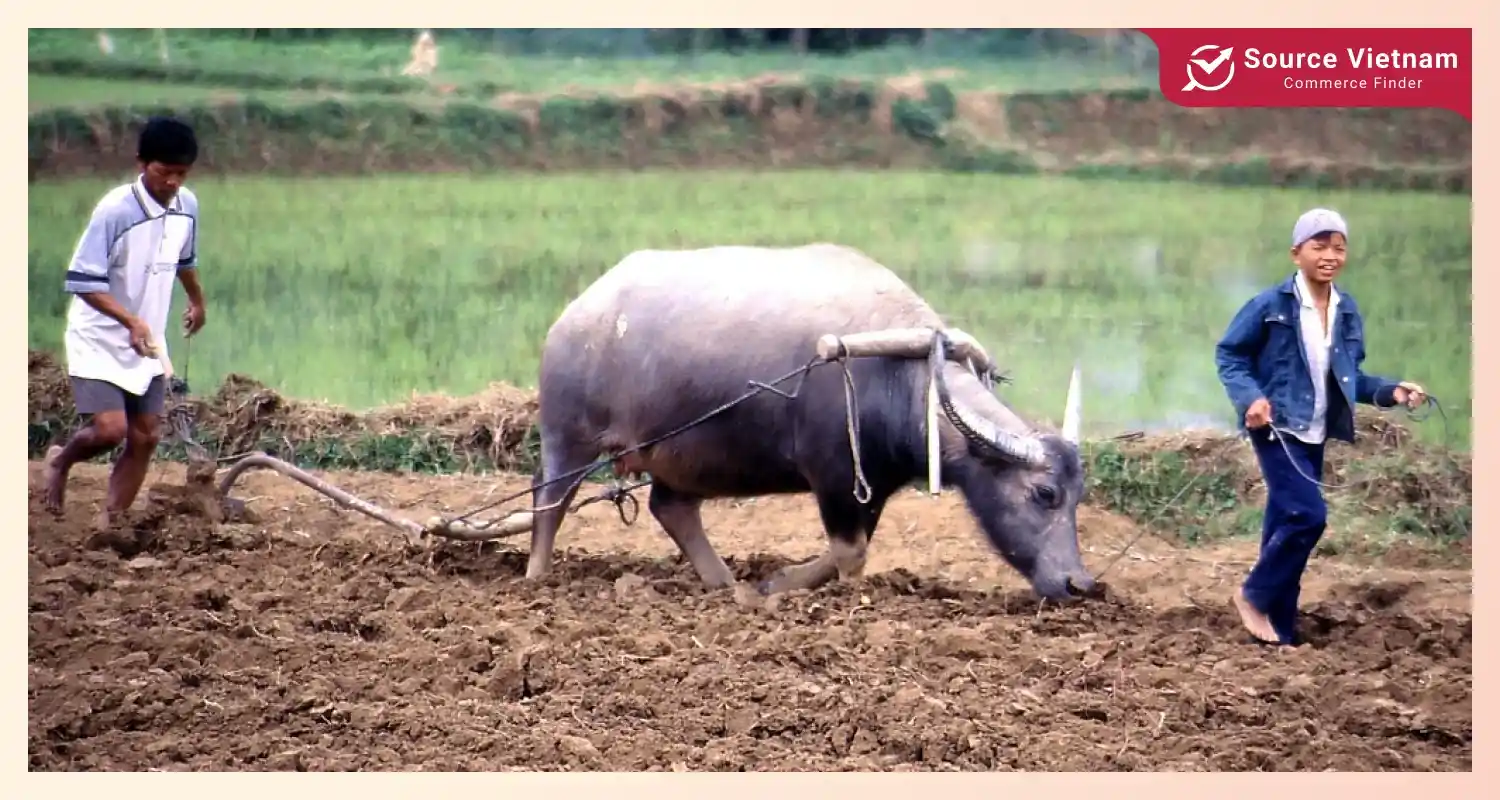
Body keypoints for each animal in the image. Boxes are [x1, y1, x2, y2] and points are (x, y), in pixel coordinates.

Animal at [522, 241, 1098, 600]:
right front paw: (789, 588)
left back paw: (727, 586)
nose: (1079, 584)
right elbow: (850, 553)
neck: (900, 372)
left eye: (1078, 496)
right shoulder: (832, 475)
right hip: (568, 436)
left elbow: (854, 548)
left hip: (683, 455)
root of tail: (577, 313)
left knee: (672, 508)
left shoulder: (871, 485)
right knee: (550, 502)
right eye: (1044, 493)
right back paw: (537, 578)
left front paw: (770, 585)